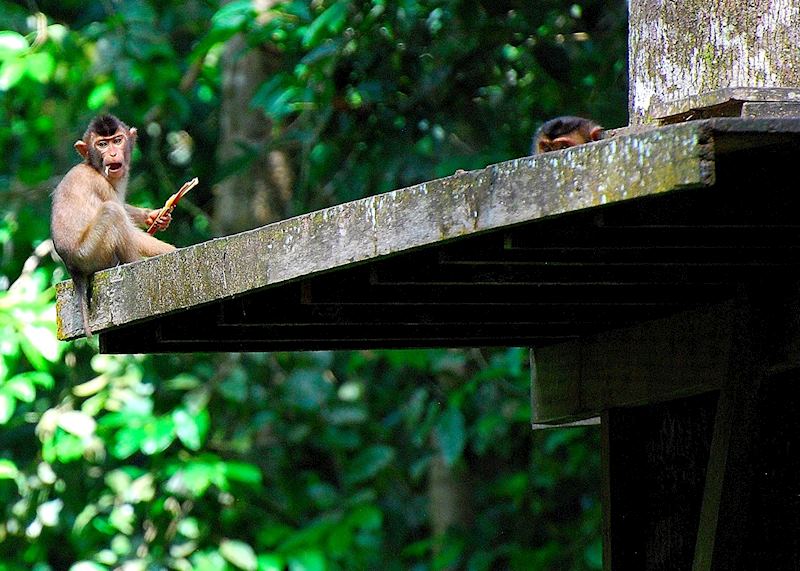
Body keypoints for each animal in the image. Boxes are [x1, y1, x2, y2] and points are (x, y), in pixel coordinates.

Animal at [51, 114, 176, 338]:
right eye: (102, 144)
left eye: (117, 140)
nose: (112, 153)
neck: (93, 166)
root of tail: (73, 268)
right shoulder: (100, 184)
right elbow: (123, 218)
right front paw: (172, 250)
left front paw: (154, 216)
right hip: (90, 253)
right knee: (112, 212)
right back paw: (134, 262)